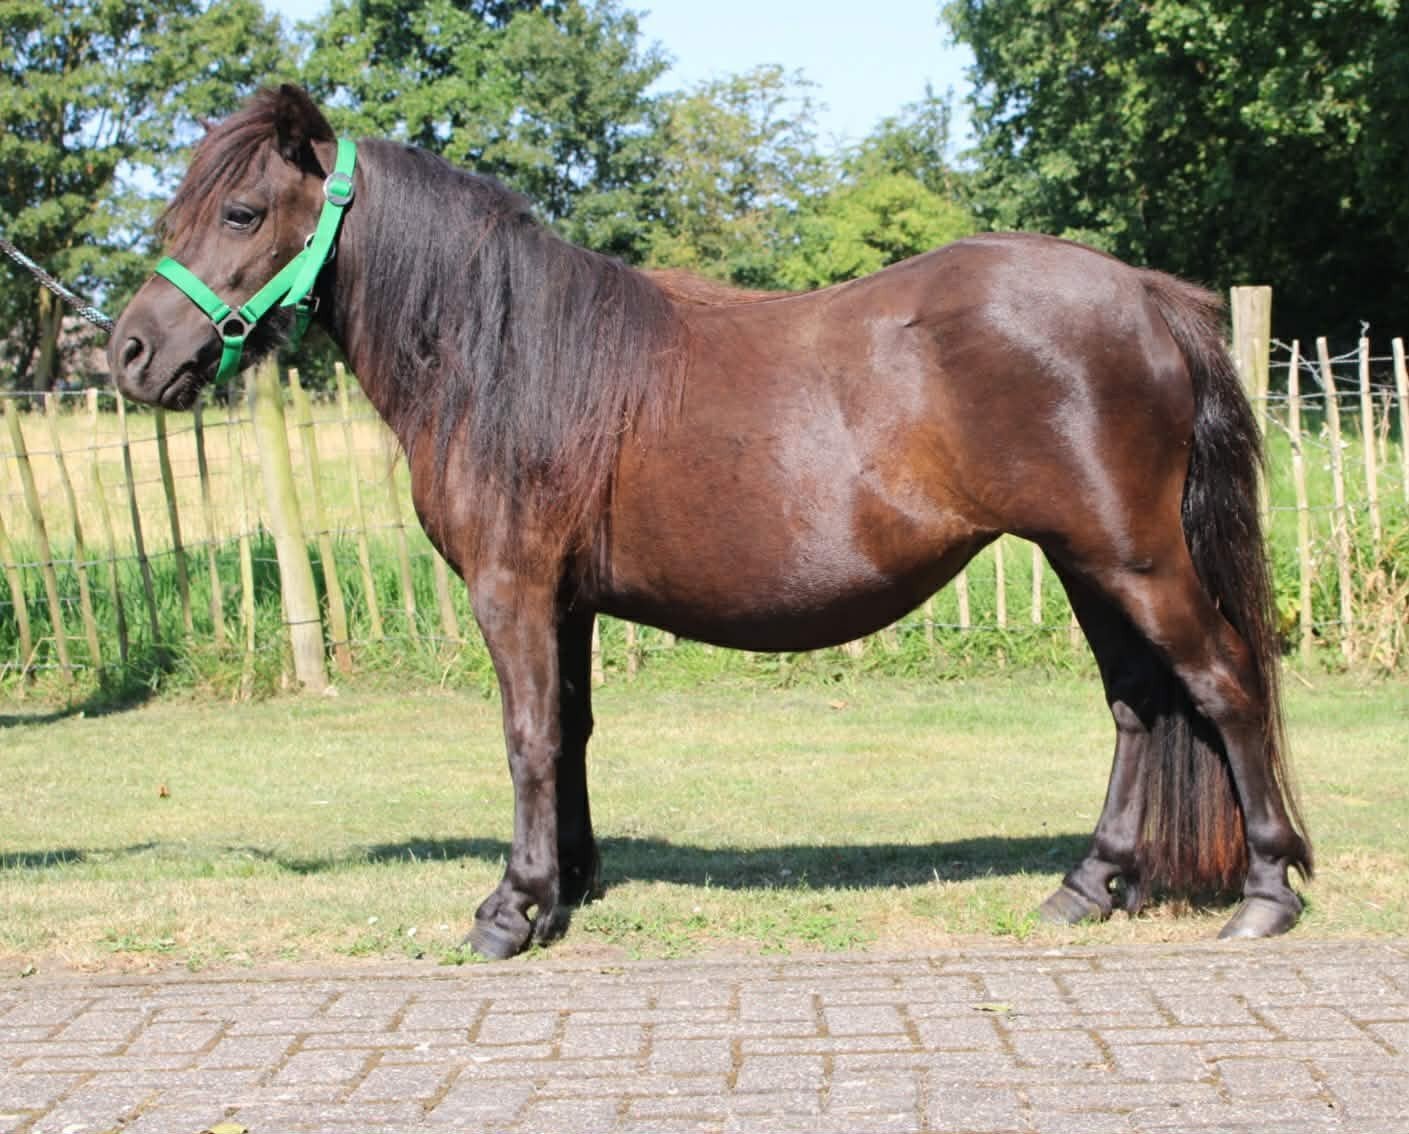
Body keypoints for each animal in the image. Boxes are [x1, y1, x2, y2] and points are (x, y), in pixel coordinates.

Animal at [109, 85, 1311, 959]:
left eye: (241, 213)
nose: (129, 352)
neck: (499, 354)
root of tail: (1143, 293)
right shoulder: (567, 604)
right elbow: (571, 733)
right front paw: (568, 887)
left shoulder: (512, 589)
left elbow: (526, 737)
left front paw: (510, 908)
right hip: (1084, 559)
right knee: (1138, 706)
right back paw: (1087, 885)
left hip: (1135, 558)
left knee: (1222, 685)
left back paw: (1264, 891)